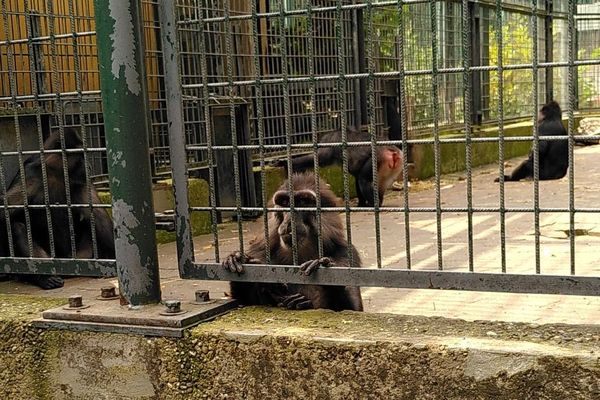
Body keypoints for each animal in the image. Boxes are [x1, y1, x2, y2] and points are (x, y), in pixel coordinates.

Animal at [0, 130, 115, 290]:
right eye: (81, 156)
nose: (89, 166)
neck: (56, 173)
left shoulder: (81, 182)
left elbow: (99, 217)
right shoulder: (30, 176)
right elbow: (5, 214)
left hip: (79, 254)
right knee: (17, 227)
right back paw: (45, 276)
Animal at [223, 171, 364, 310]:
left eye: (302, 202)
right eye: (285, 202)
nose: (289, 221)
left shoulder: (346, 254)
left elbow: (352, 309)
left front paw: (320, 266)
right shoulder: (259, 252)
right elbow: (244, 303)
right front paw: (237, 259)